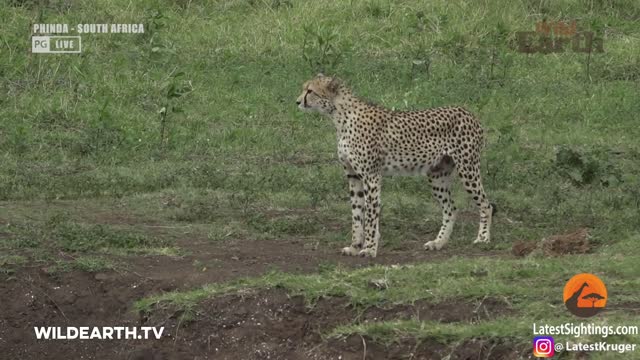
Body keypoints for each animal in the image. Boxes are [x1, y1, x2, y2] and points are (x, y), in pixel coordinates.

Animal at [296, 74, 496, 258]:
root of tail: (468, 112)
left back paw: (483, 238)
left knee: (486, 204)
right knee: (451, 209)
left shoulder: (371, 176)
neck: (340, 116)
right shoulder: (353, 177)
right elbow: (357, 214)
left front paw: (369, 248)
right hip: (437, 175)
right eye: (305, 88)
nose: (297, 101)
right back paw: (438, 243)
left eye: (310, 91)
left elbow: (370, 214)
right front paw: (355, 246)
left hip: (467, 169)